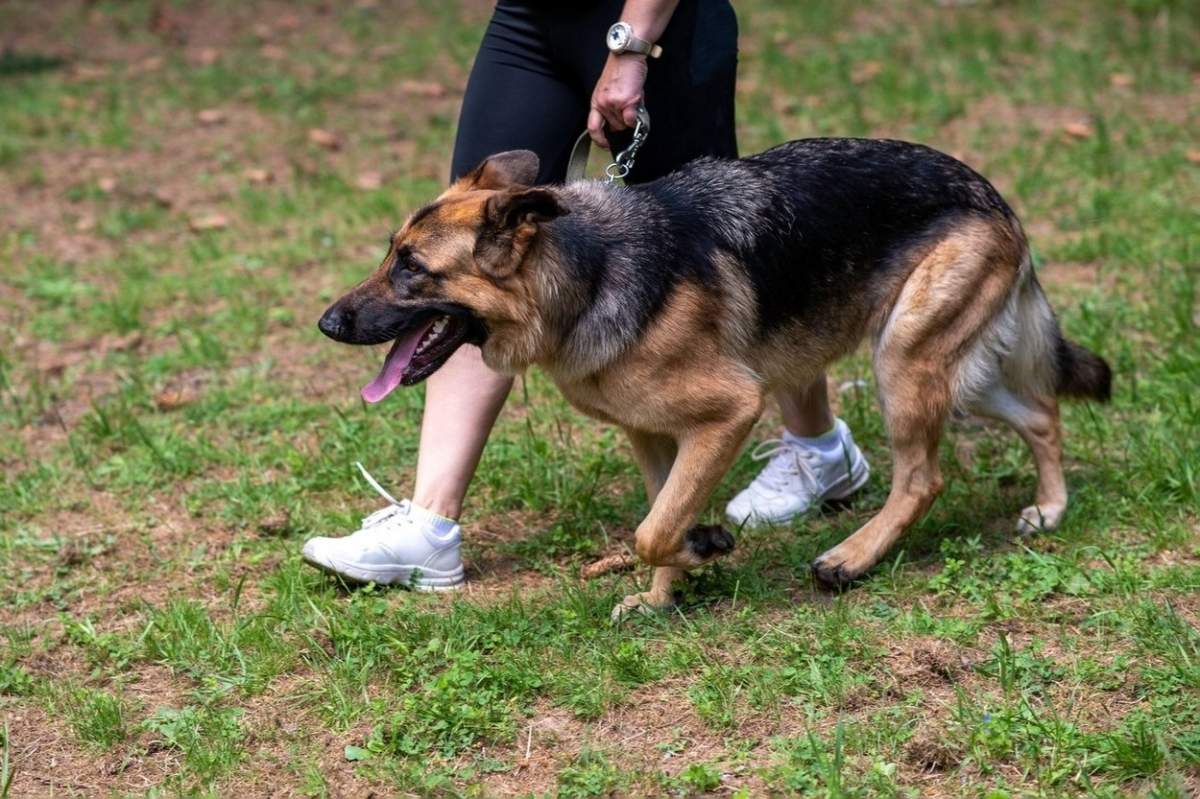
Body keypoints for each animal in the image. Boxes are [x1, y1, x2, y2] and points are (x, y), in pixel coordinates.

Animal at [321, 139, 1113, 611]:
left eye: (412, 269)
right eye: (389, 253)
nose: (327, 323)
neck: (587, 273)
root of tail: (991, 193)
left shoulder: (731, 410)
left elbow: (651, 528)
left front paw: (703, 549)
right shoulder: (654, 435)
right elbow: (662, 513)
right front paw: (666, 593)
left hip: (904, 360)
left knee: (923, 479)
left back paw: (850, 559)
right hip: (956, 369)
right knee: (1042, 412)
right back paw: (1050, 508)